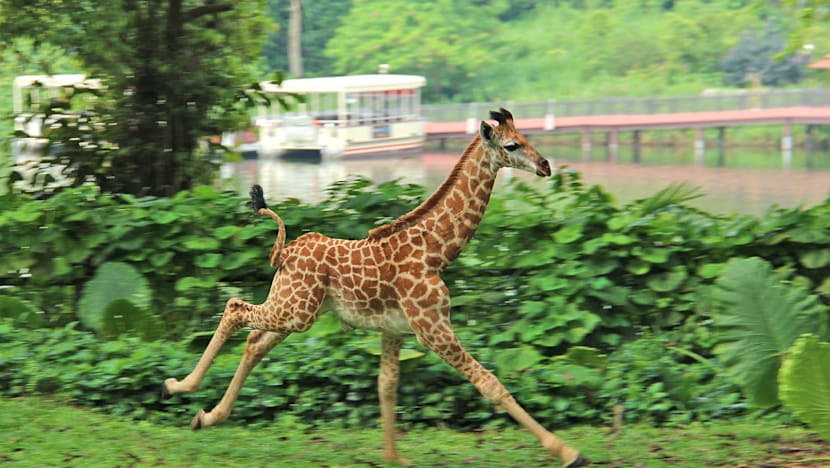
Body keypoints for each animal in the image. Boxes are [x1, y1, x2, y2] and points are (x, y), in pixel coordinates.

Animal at [161, 108, 587, 467]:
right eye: (512, 145)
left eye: (527, 137)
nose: (546, 165)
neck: (438, 252)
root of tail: (286, 251)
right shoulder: (433, 328)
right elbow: (491, 384)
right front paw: (570, 453)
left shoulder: (395, 331)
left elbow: (387, 386)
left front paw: (394, 457)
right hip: (296, 311)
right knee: (235, 309)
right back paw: (177, 386)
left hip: (297, 310)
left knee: (253, 342)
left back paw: (203, 415)